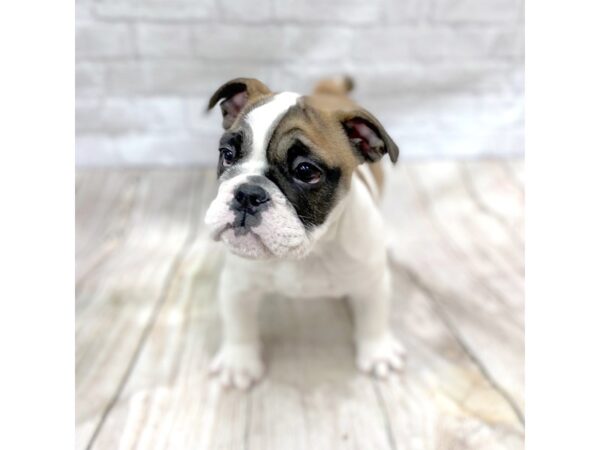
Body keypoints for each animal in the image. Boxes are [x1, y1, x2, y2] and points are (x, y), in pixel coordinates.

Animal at [204, 75, 406, 388]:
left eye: (306, 171)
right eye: (227, 154)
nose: (248, 193)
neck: (309, 250)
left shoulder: (372, 282)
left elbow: (374, 317)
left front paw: (378, 353)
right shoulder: (237, 285)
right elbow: (239, 324)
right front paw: (239, 363)